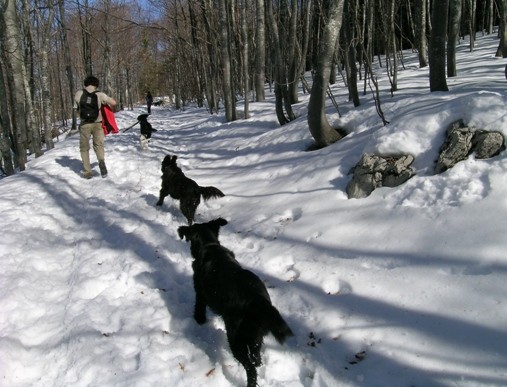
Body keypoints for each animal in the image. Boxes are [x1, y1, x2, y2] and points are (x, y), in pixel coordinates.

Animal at [178, 218, 294, 387]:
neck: (209, 245)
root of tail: (256, 300)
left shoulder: (200, 292)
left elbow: (199, 307)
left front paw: (199, 321)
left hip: (236, 338)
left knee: (251, 369)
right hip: (255, 337)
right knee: (256, 360)